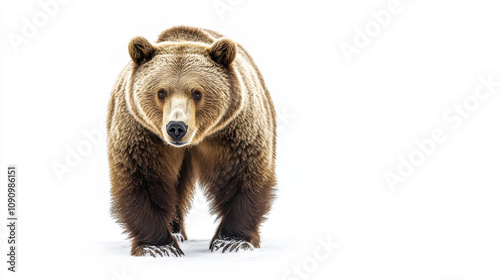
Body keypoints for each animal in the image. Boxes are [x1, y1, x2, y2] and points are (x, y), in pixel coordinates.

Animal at [106, 26, 278, 258]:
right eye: (161, 92)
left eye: (197, 93)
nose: (176, 127)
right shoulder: (142, 133)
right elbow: (142, 178)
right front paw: (159, 246)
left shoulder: (232, 132)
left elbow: (242, 174)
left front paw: (231, 241)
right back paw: (176, 233)